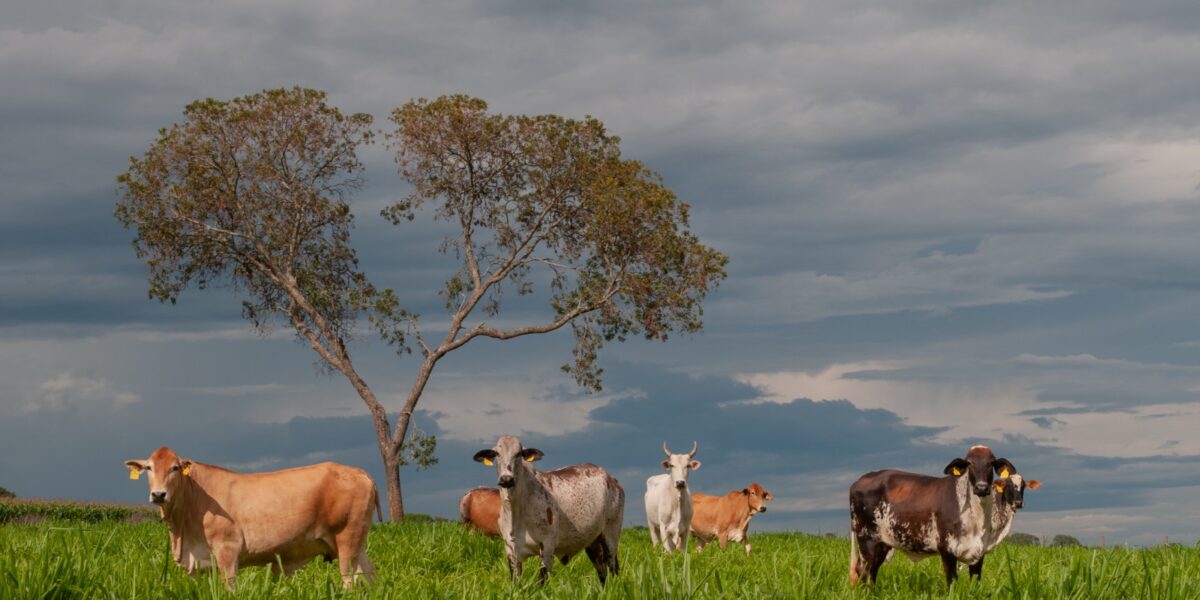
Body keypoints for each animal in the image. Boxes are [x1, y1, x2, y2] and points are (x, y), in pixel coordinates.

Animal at [121, 448, 374, 588]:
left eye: (174, 467)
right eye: (149, 468)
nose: (159, 494)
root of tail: (360, 472)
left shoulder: (228, 550)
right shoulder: (198, 563)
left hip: (347, 540)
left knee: (350, 581)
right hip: (357, 543)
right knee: (369, 576)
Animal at [470, 436, 624, 585]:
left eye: (519, 453)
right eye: (496, 453)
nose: (506, 479)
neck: (517, 510)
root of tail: (612, 479)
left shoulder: (548, 547)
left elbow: (541, 582)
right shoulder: (511, 550)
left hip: (611, 535)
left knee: (613, 568)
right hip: (593, 541)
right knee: (602, 572)